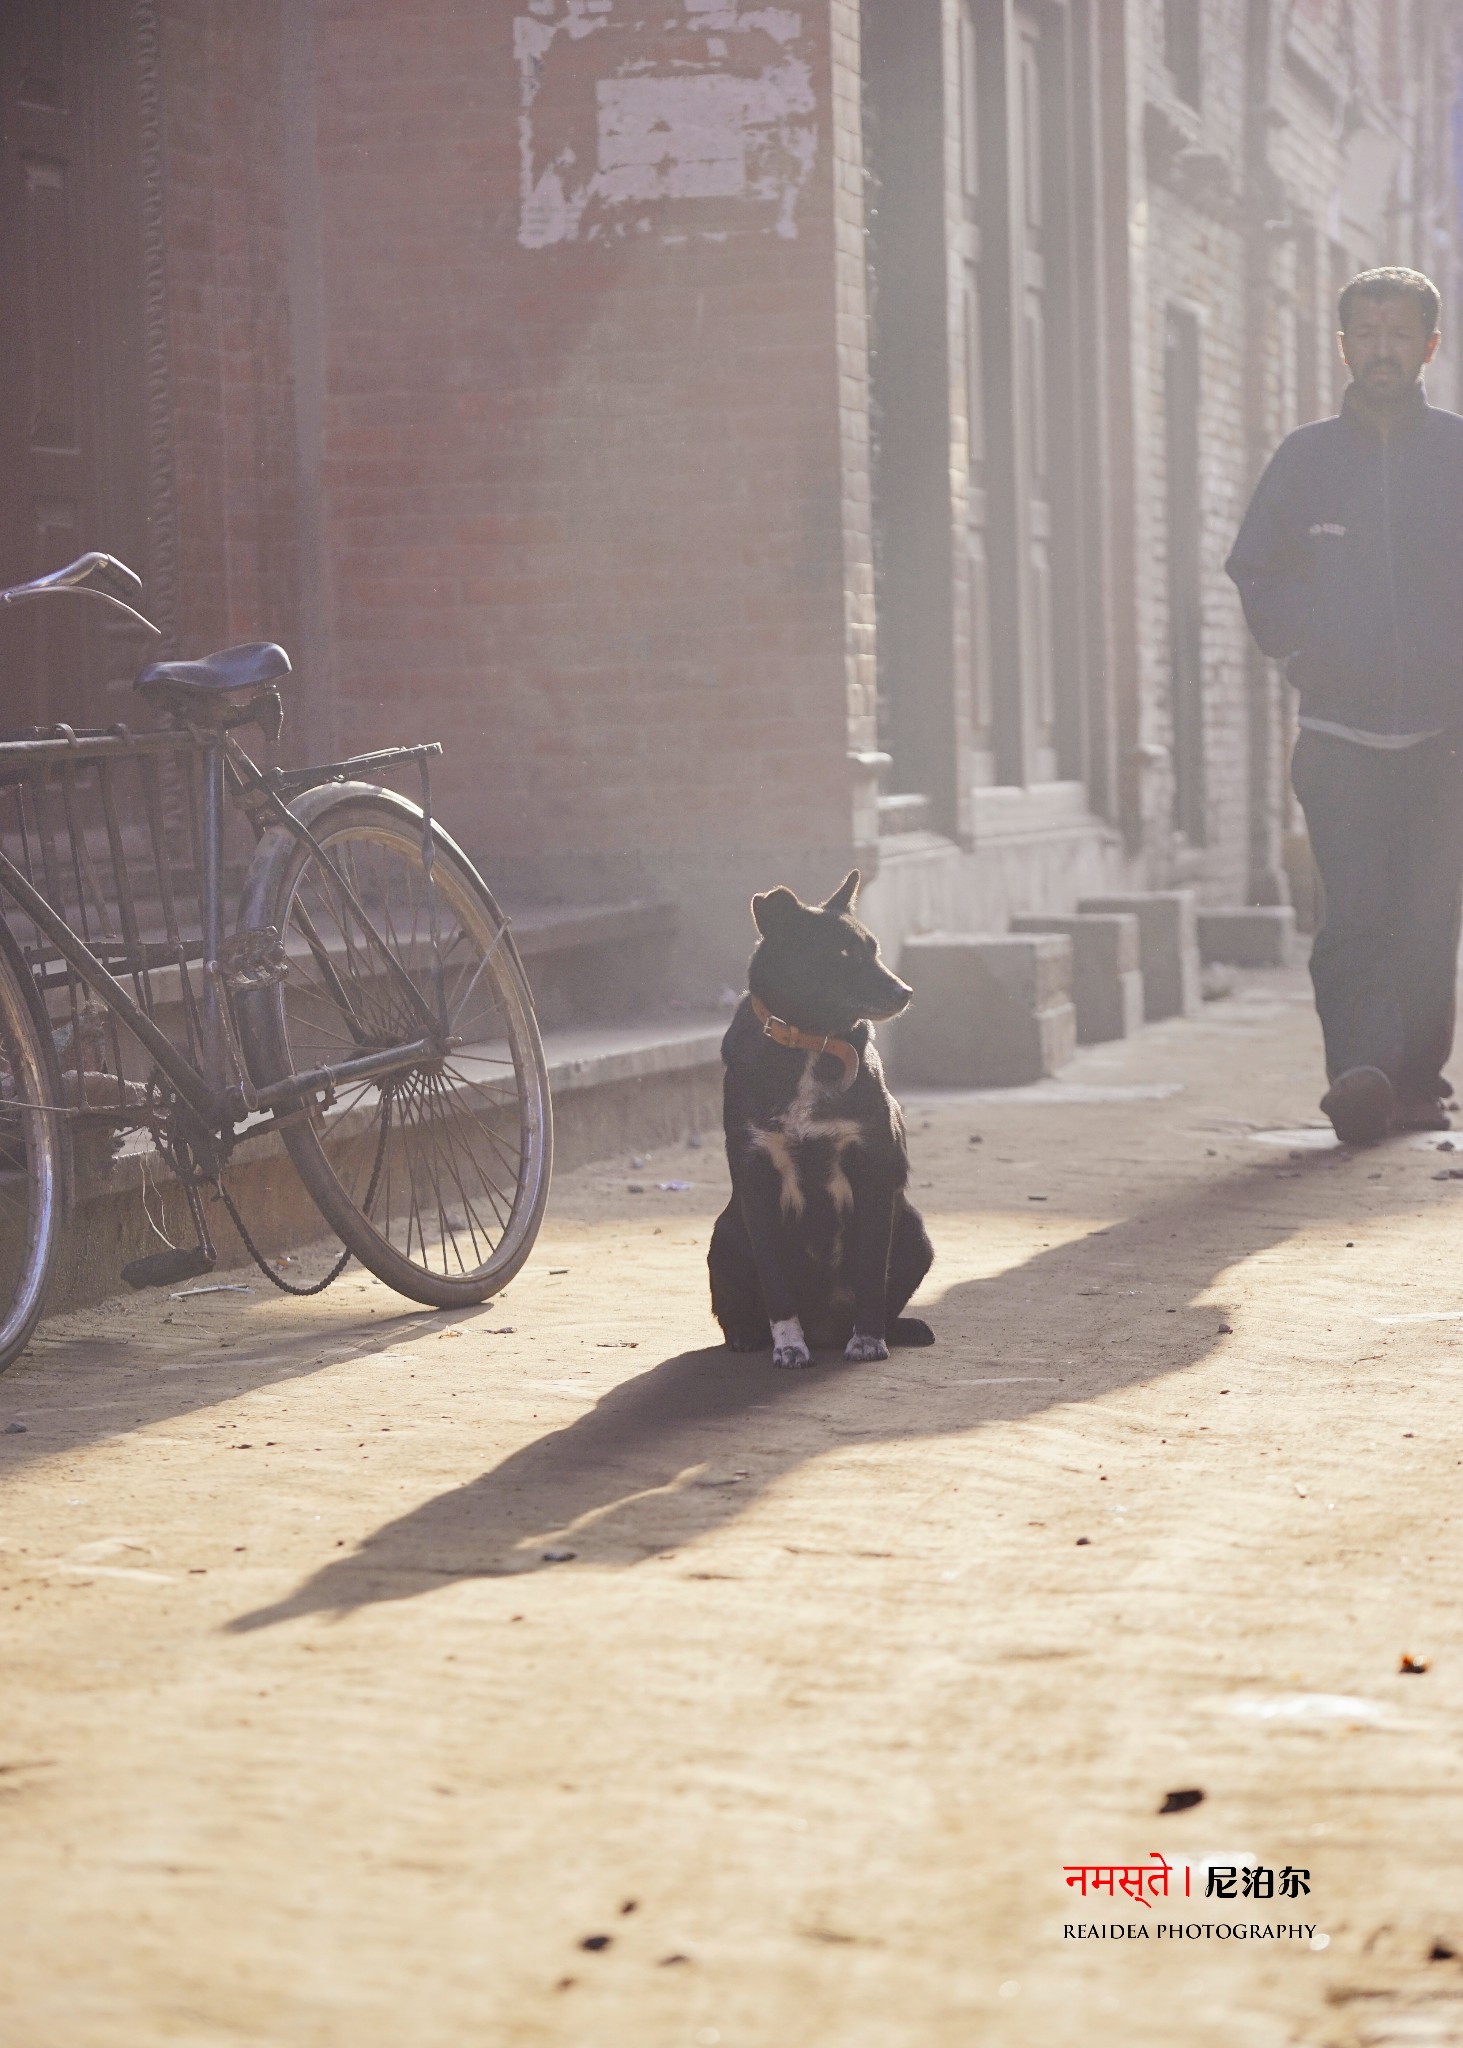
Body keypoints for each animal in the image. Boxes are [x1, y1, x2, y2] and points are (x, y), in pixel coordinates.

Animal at [704, 872, 934, 1368]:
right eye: (843, 954)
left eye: (875, 950)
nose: (905, 992)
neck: (812, 1040)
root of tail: (825, 1325)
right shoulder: (758, 1180)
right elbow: (775, 1284)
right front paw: (789, 1345)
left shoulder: (872, 1173)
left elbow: (871, 1272)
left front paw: (868, 1339)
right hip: (725, 1236)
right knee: (735, 1308)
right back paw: (747, 1335)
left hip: (913, 1231)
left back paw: (896, 1329)